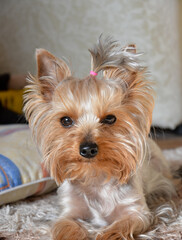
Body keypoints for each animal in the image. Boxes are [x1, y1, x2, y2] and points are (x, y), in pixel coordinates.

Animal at [22, 36, 179, 239]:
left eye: (110, 118)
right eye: (66, 120)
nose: (87, 149)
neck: (95, 176)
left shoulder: (137, 213)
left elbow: (119, 227)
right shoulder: (68, 212)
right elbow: (66, 226)